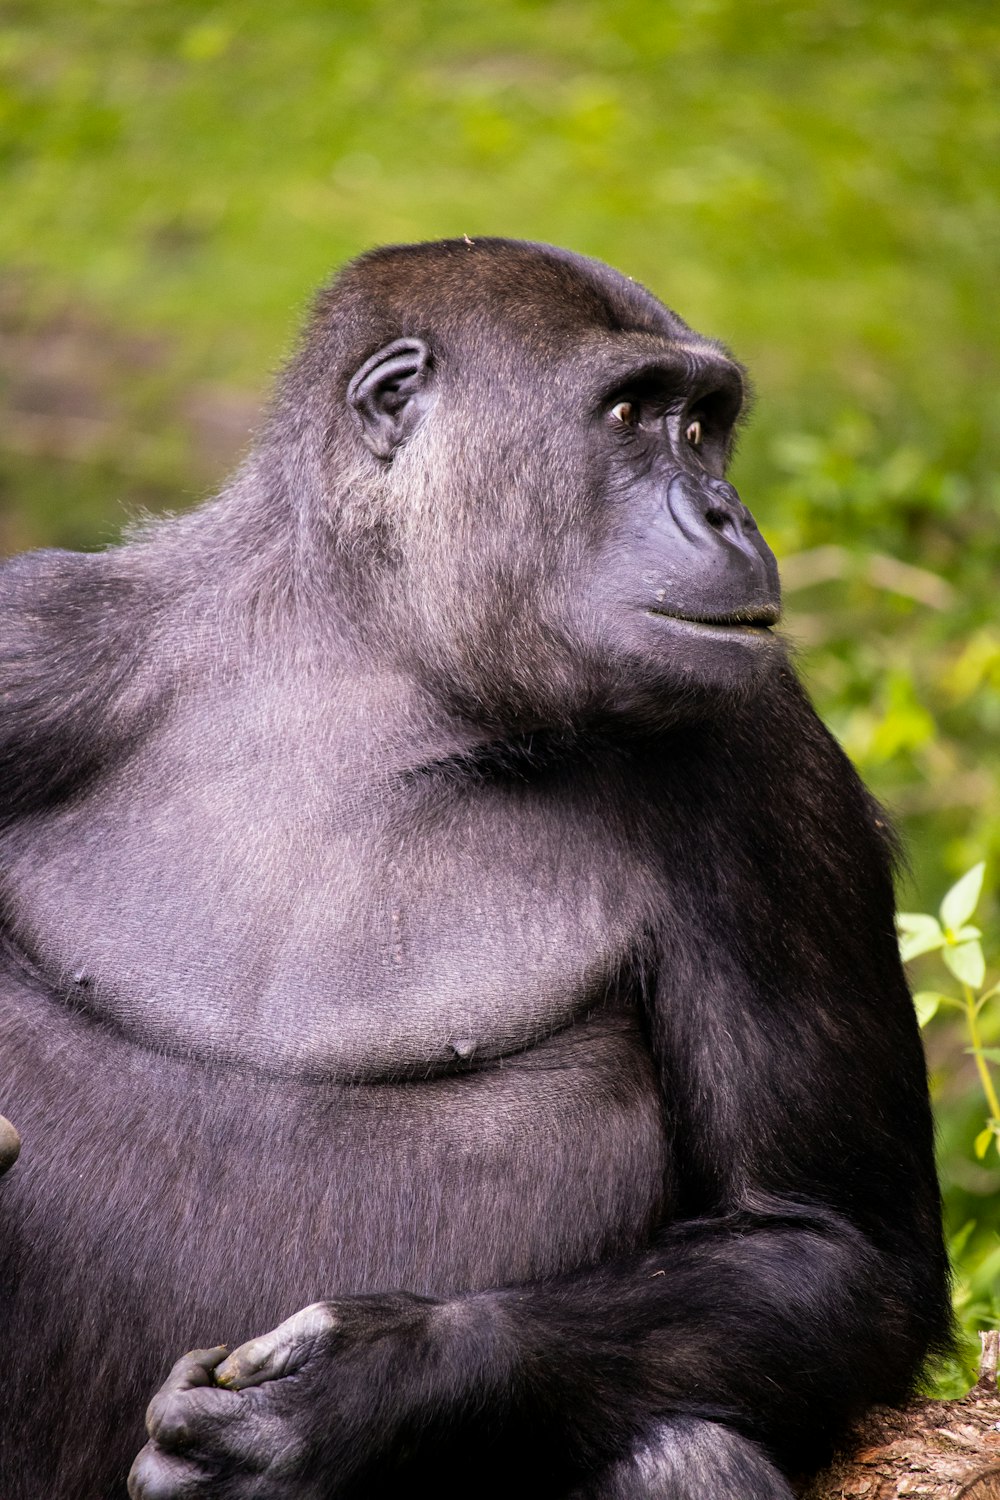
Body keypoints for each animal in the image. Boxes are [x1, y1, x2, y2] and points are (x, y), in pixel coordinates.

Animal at [0, 240, 947, 1494]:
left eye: (704, 429)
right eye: (631, 414)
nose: (726, 511)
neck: (364, 661)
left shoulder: (763, 760)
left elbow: (828, 1243)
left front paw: (371, 1384)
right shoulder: (31, 641)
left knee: (680, 1444)